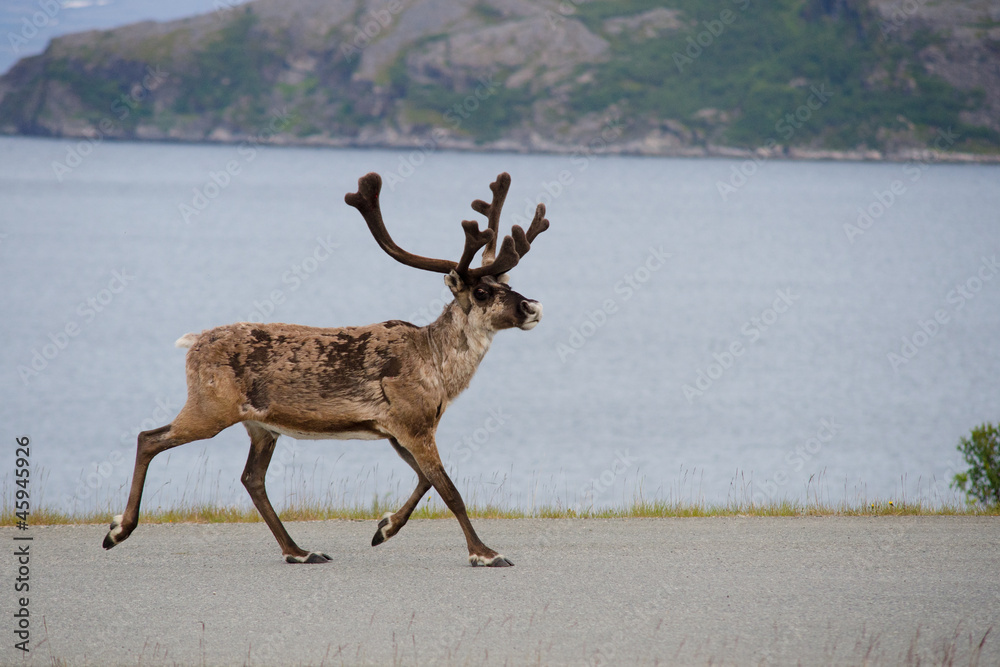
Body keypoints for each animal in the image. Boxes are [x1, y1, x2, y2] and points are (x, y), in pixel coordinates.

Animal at [102, 171, 548, 566]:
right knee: (148, 438)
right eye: (483, 291)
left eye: (509, 284)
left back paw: (299, 551)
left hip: (259, 425)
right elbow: (449, 490)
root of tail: (193, 342)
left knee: (252, 479)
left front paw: (384, 528)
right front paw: (485, 554)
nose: (533, 306)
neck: (437, 367)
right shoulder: (411, 423)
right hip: (209, 407)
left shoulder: (397, 429)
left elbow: (425, 481)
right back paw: (118, 530)